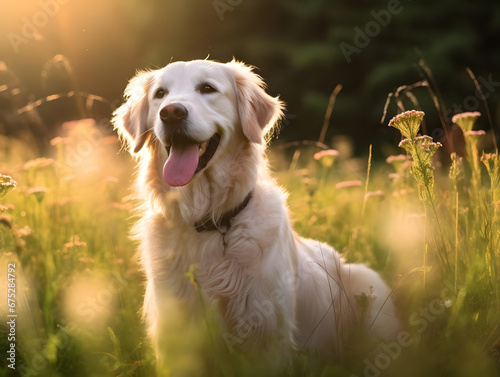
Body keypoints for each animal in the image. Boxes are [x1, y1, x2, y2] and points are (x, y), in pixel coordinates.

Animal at [112, 59, 398, 370]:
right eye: (160, 94)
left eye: (208, 88)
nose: (171, 113)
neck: (209, 220)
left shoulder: (266, 333)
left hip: (369, 286)